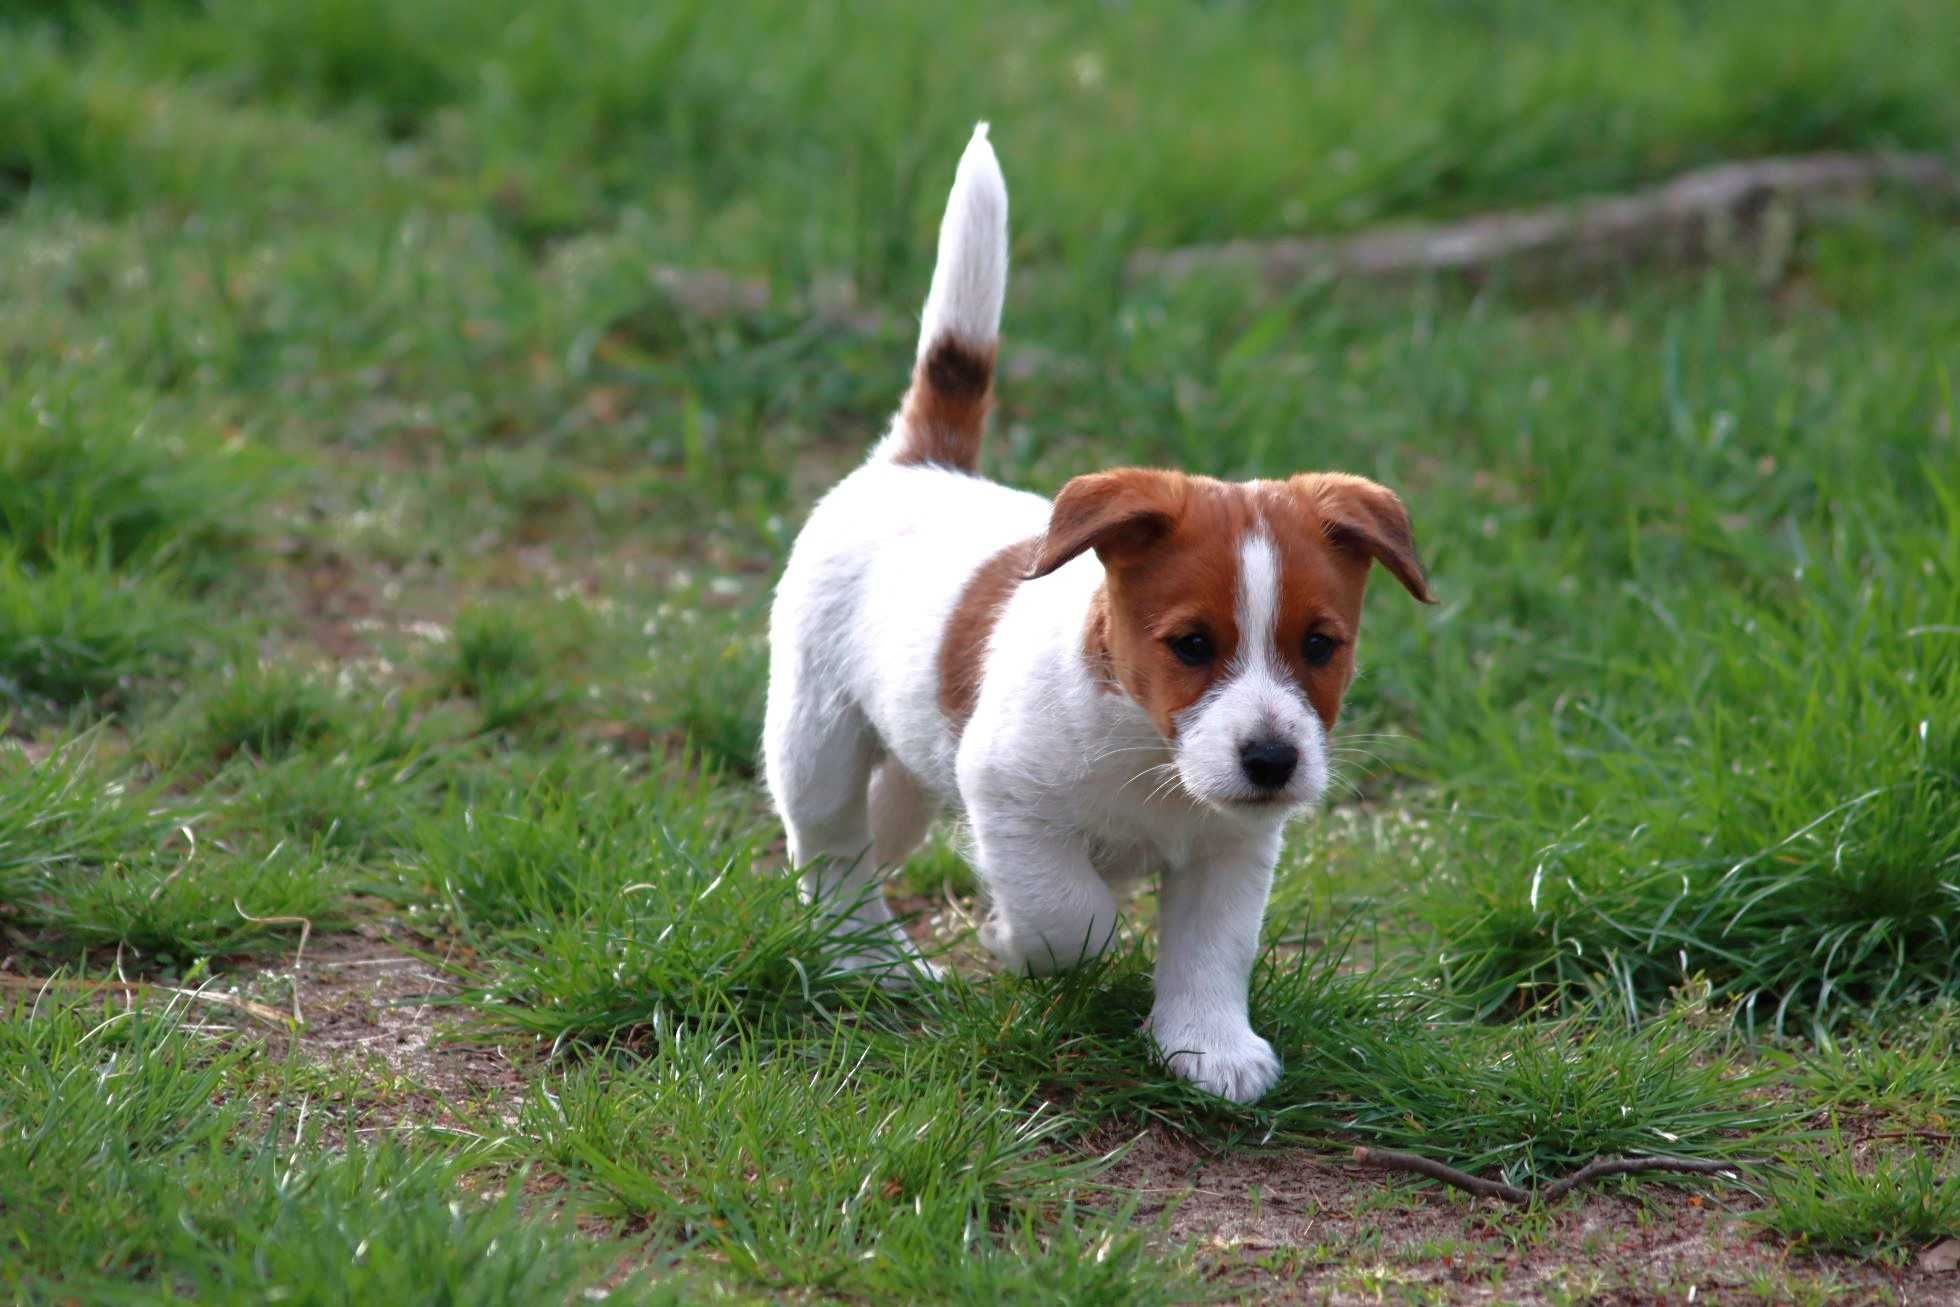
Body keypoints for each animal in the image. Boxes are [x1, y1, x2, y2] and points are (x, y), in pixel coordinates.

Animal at [768, 125, 1442, 1105]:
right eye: (1191, 644)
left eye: (1321, 645)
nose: (1272, 761)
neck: (1146, 747)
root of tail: (919, 462)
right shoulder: (1010, 800)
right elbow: (1072, 916)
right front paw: (1014, 940)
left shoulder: (1233, 852)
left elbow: (1211, 952)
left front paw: (1207, 1044)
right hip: (815, 736)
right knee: (829, 850)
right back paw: (866, 956)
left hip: (901, 761)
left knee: (876, 829)